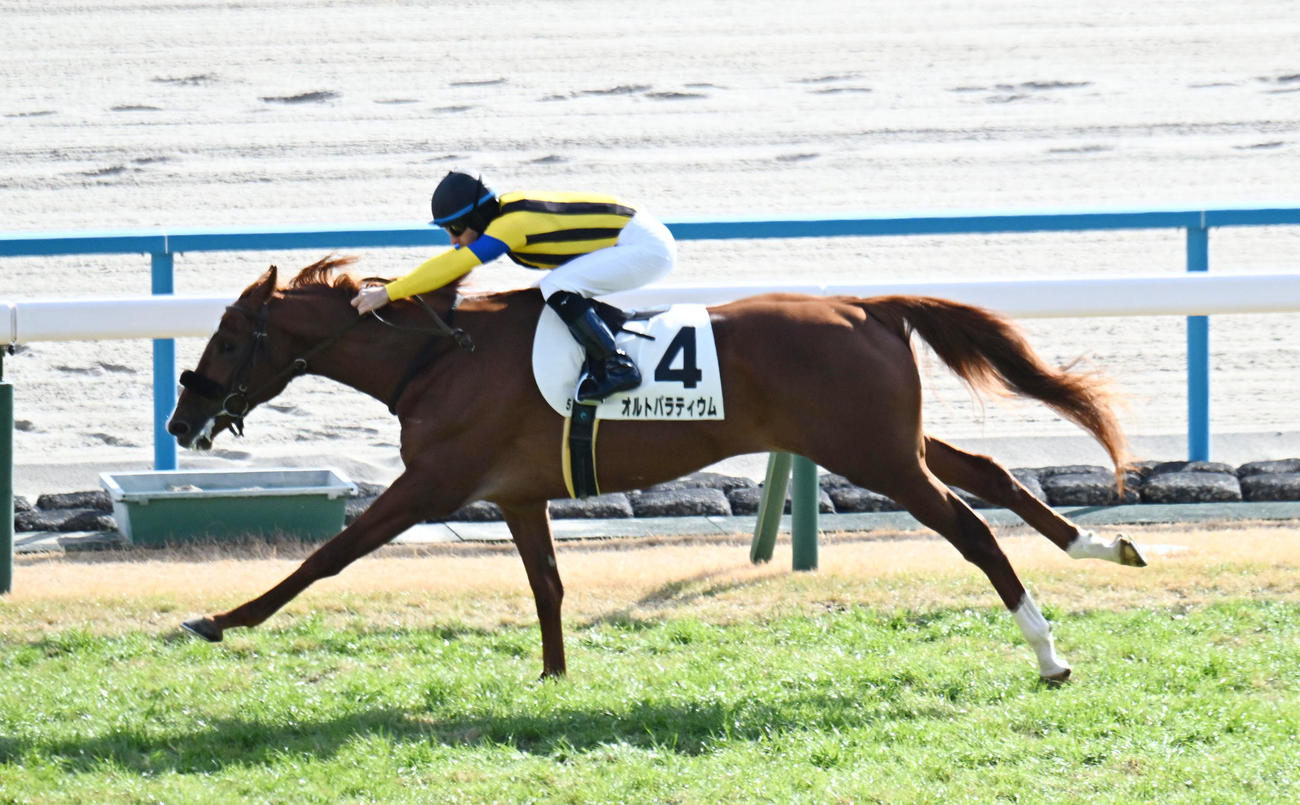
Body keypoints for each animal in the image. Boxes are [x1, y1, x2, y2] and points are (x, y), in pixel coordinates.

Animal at [169, 255, 1146, 682]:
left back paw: (1048, 651)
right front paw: (554, 677)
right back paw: (1105, 547)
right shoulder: (517, 493)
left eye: (227, 338)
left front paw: (220, 617)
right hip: (879, 441)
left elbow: (326, 556)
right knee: (992, 472)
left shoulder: (435, 482)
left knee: (972, 526)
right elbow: (548, 585)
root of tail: (868, 305)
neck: (437, 356)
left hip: (875, 455)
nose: (182, 419)